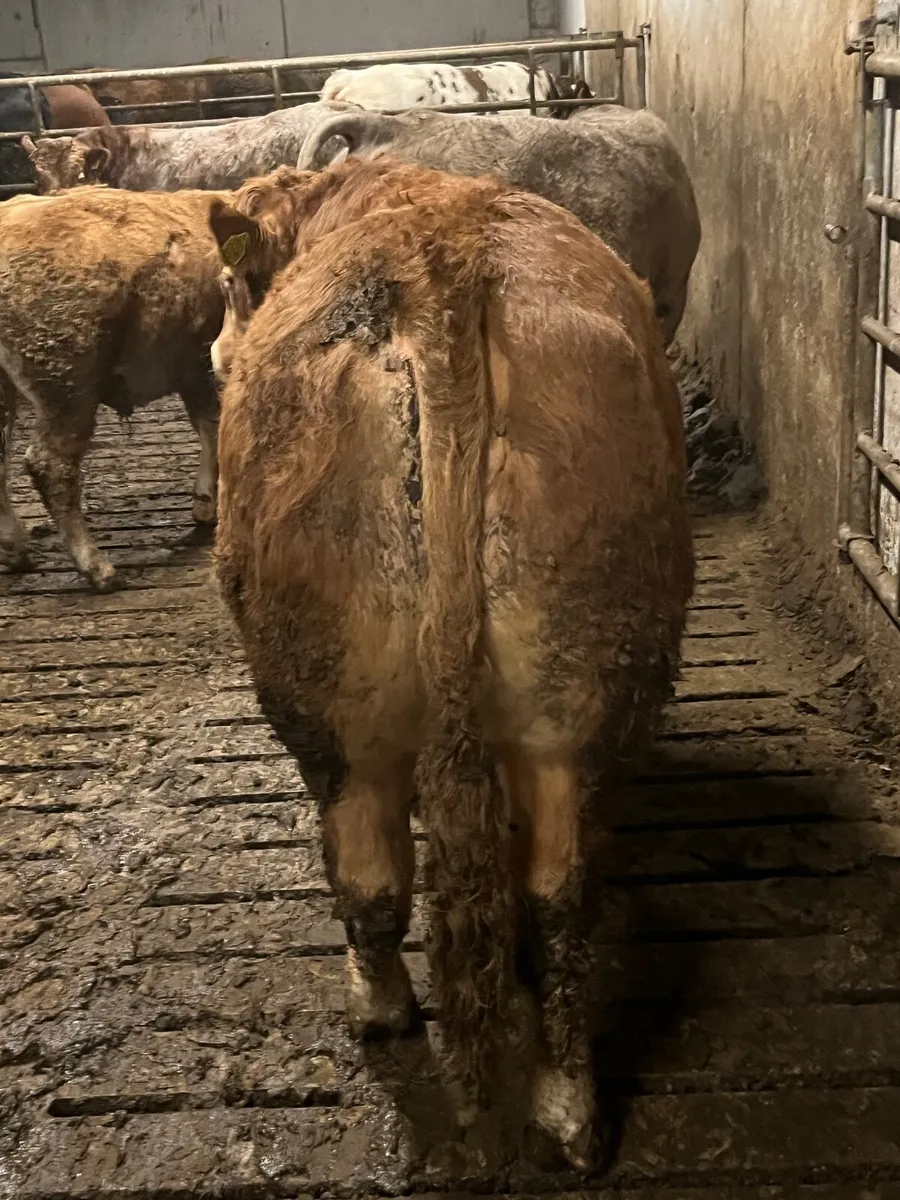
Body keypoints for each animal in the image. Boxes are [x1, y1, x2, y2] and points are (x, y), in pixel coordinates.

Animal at [0, 187, 227, 588]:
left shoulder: (192, 364)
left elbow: (207, 424)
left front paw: (205, 504)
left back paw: (15, 551)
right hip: (67, 381)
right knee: (51, 465)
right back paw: (97, 568)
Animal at [205, 157, 694, 1169]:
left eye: (232, 282)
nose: (217, 354)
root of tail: (442, 265)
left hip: (329, 710)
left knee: (371, 874)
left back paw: (380, 1008)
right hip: (556, 700)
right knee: (551, 898)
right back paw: (567, 1107)